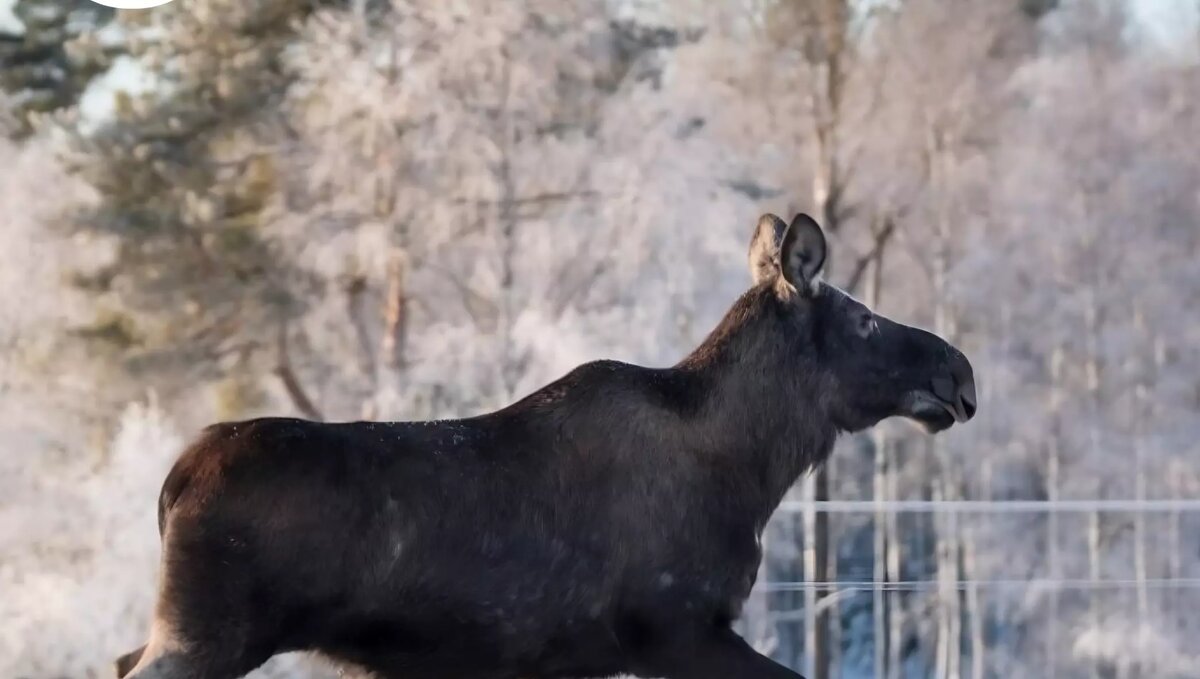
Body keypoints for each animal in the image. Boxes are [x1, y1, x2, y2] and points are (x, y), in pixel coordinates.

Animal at [112, 214, 974, 679]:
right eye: (863, 318)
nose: (960, 371)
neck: (754, 469)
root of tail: (173, 478)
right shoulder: (674, 627)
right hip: (207, 633)